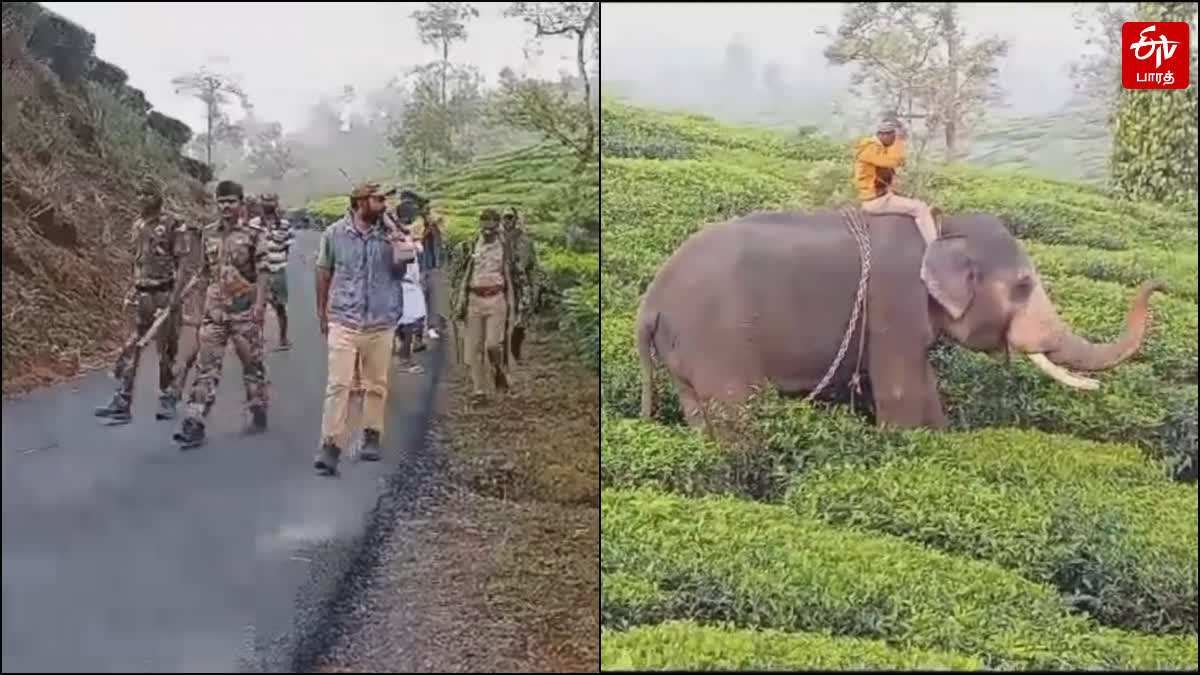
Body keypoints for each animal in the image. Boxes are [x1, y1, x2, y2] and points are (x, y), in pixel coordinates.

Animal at [638, 208, 1161, 429]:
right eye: (1022, 285)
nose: (1158, 284)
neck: (942, 227)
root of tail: (649, 302)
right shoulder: (895, 301)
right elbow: (901, 390)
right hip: (717, 341)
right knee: (737, 413)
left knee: (699, 414)